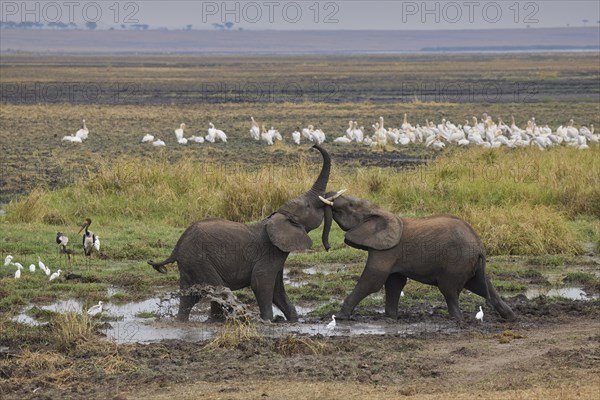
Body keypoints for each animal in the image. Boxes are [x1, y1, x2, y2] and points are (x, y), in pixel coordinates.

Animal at [146, 144, 332, 322]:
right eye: (308, 206)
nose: (313, 145)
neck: (277, 217)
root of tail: (177, 247)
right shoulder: (269, 253)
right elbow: (261, 284)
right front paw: (267, 321)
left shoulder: (277, 255)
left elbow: (277, 291)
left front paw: (293, 321)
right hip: (199, 261)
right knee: (218, 290)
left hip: (189, 264)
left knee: (190, 298)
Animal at [318, 191, 516, 322]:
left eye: (350, 205)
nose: (329, 195)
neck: (381, 211)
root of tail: (480, 246)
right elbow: (395, 283)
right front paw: (391, 317)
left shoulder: (387, 251)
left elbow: (372, 280)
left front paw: (340, 316)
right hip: (471, 265)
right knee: (482, 286)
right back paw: (510, 317)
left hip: (457, 262)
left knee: (449, 291)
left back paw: (457, 320)